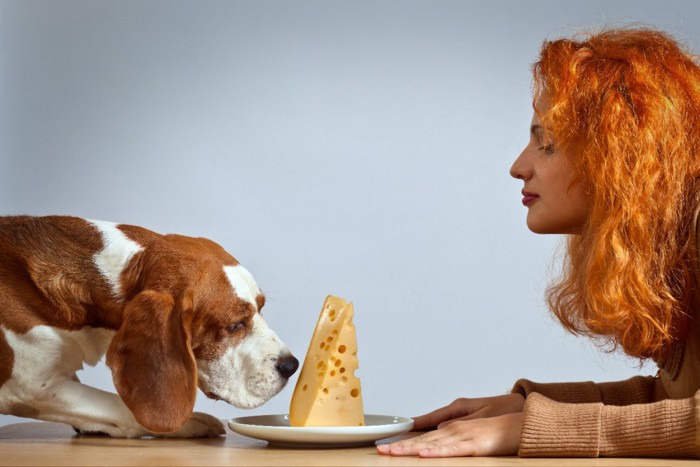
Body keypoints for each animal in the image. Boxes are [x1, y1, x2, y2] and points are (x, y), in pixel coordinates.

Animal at [0, 216, 298, 438]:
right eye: (235, 325)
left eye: (261, 307)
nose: (291, 366)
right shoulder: (29, 386)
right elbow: (118, 406)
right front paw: (190, 423)